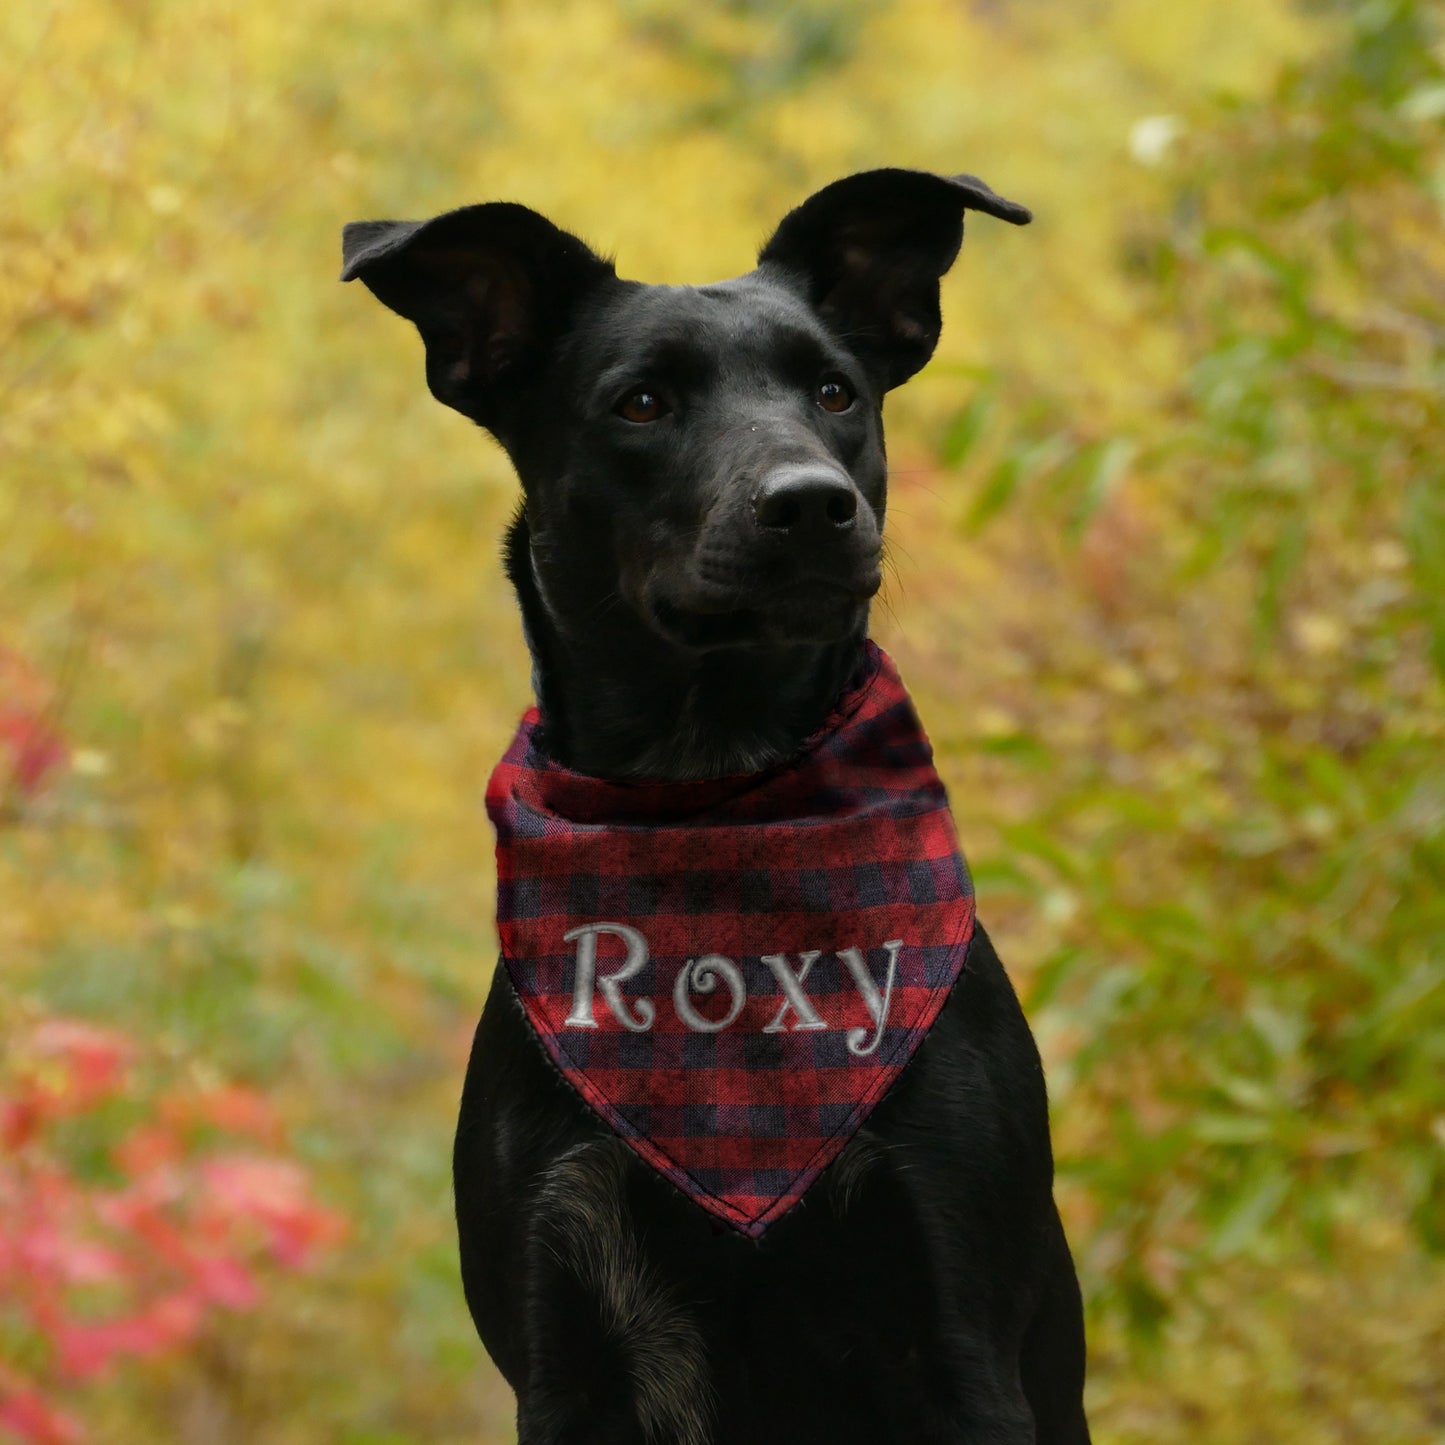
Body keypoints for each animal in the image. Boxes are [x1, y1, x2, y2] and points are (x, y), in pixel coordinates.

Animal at [341, 171, 1086, 1445]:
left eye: (835, 391)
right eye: (640, 402)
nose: (810, 504)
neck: (714, 795)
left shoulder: (957, 1323)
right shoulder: (563, 1327)